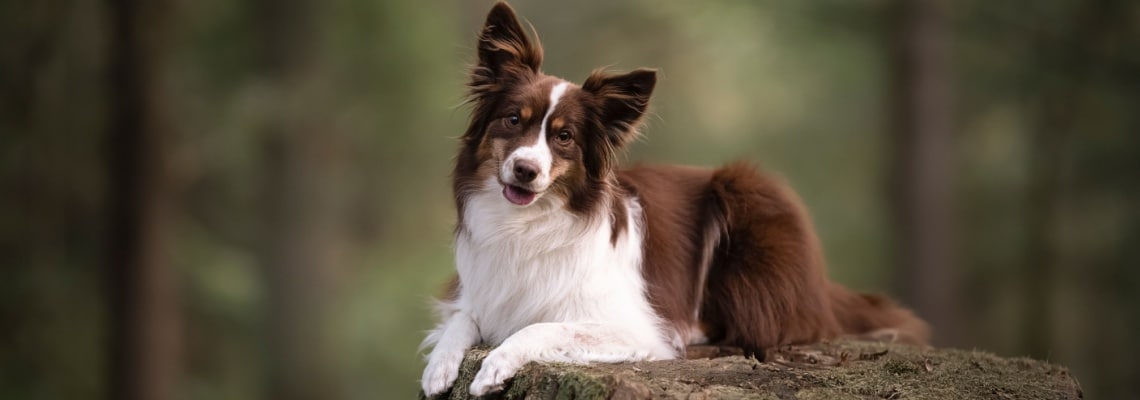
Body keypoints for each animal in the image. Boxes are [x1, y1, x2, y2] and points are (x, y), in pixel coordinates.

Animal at [424, 2, 930, 398]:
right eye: (513, 119)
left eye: (564, 137)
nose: (525, 171)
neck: (527, 223)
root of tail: (821, 286)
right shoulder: (477, 292)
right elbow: (461, 320)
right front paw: (439, 366)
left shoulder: (634, 325)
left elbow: (540, 326)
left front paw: (494, 365)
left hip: (747, 198)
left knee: (769, 326)